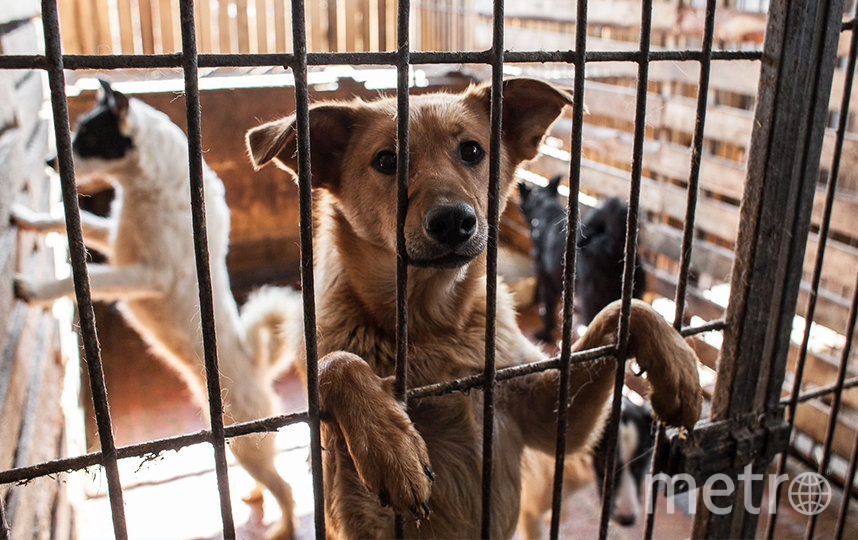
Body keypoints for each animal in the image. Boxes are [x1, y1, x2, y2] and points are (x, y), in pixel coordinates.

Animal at [10, 80, 300, 540]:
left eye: (87, 139)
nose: (50, 162)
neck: (152, 181)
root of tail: (257, 367)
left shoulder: (148, 274)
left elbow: (85, 278)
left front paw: (36, 289)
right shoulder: (116, 242)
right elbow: (63, 224)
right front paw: (25, 218)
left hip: (248, 444)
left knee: (286, 489)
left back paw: (283, 526)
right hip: (240, 443)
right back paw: (253, 495)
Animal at [244, 78, 700, 536]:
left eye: (472, 151)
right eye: (387, 160)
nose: (452, 221)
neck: (433, 323)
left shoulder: (548, 419)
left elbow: (624, 307)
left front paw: (679, 369)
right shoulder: (354, 509)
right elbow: (336, 363)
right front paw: (388, 443)